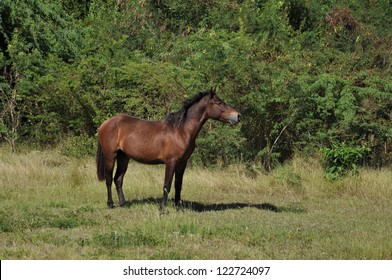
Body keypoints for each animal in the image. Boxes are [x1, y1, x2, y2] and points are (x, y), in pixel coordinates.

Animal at [96, 88, 240, 211]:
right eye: (218, 103)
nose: (238, 116)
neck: (181, 130)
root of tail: (104, 124)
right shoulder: (171, 162)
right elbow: (167, 185)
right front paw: (162, 209)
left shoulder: (182, 163)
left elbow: (178, 185)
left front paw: (178, 208)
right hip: (110, 157)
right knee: (109, 179)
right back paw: (110, 204)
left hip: (124, 157)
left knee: (118, 179)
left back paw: (124, 204)